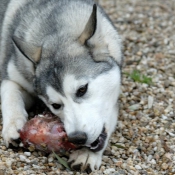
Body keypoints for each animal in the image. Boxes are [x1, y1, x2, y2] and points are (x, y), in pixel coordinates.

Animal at [0, 0, 121, 172]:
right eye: (55, 105)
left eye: (82, 89)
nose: (78, 138)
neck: (56, 32)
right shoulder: (11, 76)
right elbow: (10, 96)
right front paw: (12, 126)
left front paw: (86, 154)